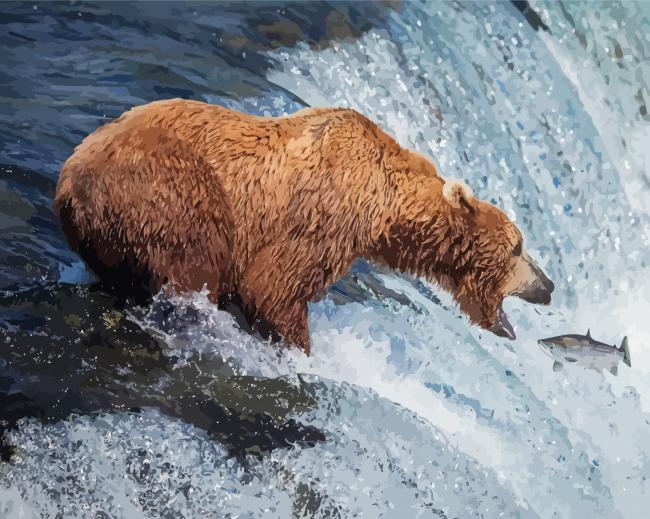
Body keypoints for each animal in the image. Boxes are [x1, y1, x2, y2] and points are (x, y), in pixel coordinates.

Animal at [54, 99, 554, 354]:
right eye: (518, 246)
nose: (548, 285)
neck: (384, 209)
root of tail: (69, 179)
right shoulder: (322, 215)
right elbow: (274, 287)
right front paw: (300, 348)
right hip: (166, 187)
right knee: (195, 260)